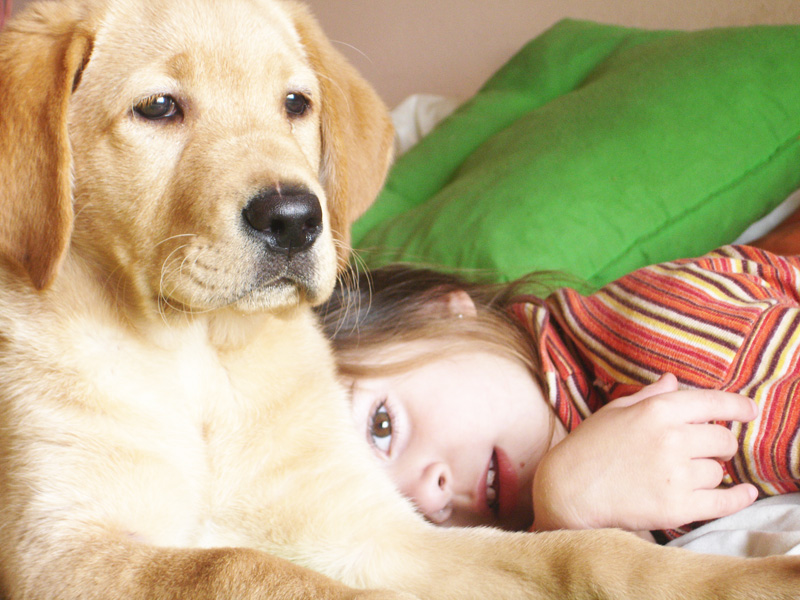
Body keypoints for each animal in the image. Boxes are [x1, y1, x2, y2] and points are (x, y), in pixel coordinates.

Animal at [0, 0, 796, 596]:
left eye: (296, 104)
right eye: (159, 107)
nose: (297, 218)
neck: (199, 361)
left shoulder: (373, 530)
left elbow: (586, 550)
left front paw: (755, 578)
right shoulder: (59, 556)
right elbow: (242, 566)